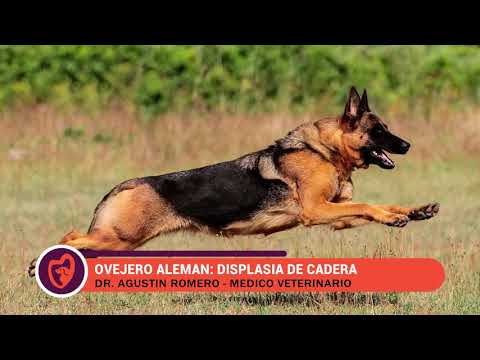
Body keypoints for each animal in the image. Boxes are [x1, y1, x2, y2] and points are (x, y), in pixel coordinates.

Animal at [27, 86, 438, 276]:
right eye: (379, 131)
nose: (408, 145)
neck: (325, 150)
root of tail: (124, 185)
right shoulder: (316, 210)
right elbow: (369, 205)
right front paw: (395, 216)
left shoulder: (336, 214)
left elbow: (375, 206)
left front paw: (413, 211)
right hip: (118, 239)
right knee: (69, 236)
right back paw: (39, 263)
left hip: (119, 243)